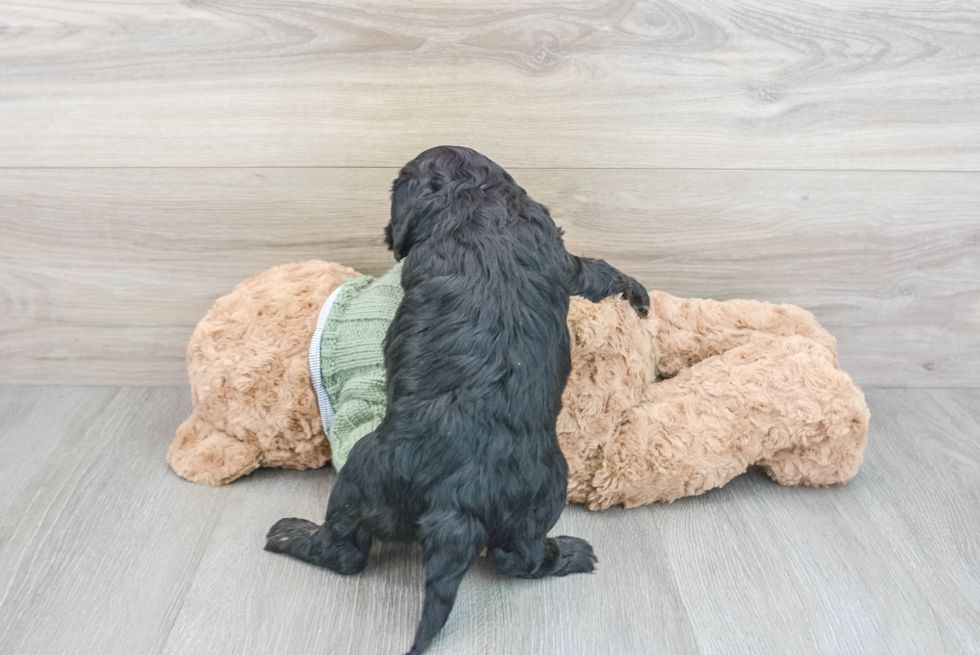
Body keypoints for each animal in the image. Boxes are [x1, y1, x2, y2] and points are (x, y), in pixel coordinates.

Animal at [268, 146, 652, 652]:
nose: (387, 237)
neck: (474, 195)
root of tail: (456, 500)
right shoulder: (559, 253)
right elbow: (593, 269)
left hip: (364, 476)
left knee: (349, 553)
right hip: (538, 493)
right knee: (516, 558)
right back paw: (569, 552)